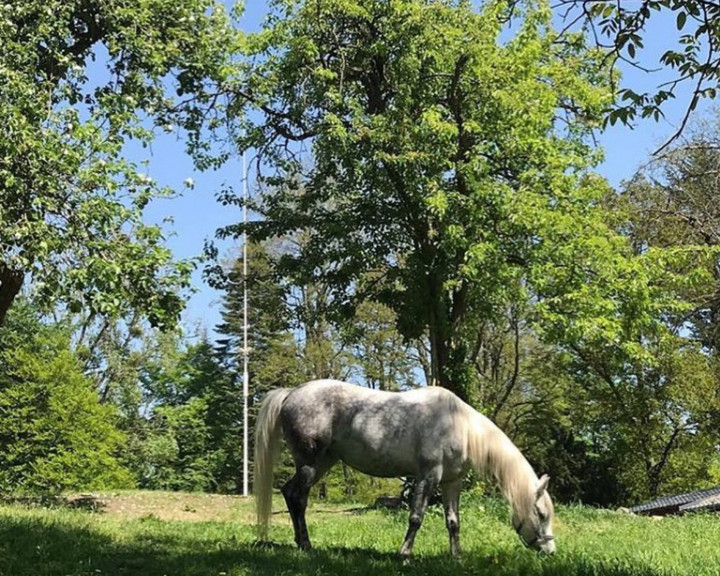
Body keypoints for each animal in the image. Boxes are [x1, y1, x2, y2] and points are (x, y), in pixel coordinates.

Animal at [255, 380, 556, 556]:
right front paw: (405, 554)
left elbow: (453, 522)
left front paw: (456, 556)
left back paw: (300, 543)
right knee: (298, 497)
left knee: (289, 493)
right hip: (309, 462)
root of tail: (291, 394)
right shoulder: (427, 477)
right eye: (541, 514)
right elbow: (416, 517)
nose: (551, 551)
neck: (459, 425)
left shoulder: (451, 483)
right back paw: (306, 545)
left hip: (324, 462)